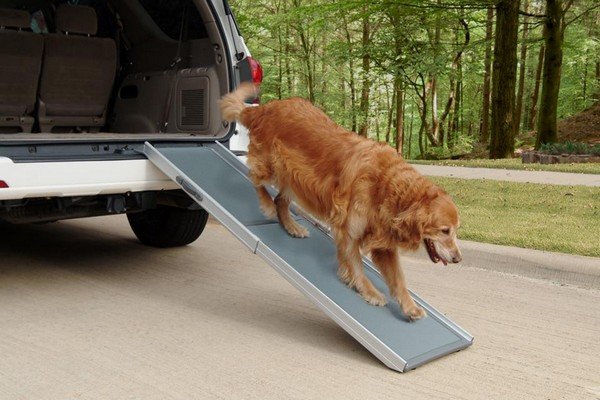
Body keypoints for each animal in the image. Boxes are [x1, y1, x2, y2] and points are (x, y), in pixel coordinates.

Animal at [218, 83, 462, 320]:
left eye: (456, 230)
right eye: (444, 230)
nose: (458, 259)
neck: (387, 185)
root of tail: (265, 108)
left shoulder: (384, 241)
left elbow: (399, 279)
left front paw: (410, 307)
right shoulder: (349, 229)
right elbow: (356, 266)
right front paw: (370, 292)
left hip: (293, 178)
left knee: (280, 199)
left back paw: (293, 227)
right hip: (271, 165)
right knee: (254, 177)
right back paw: (267, 205)